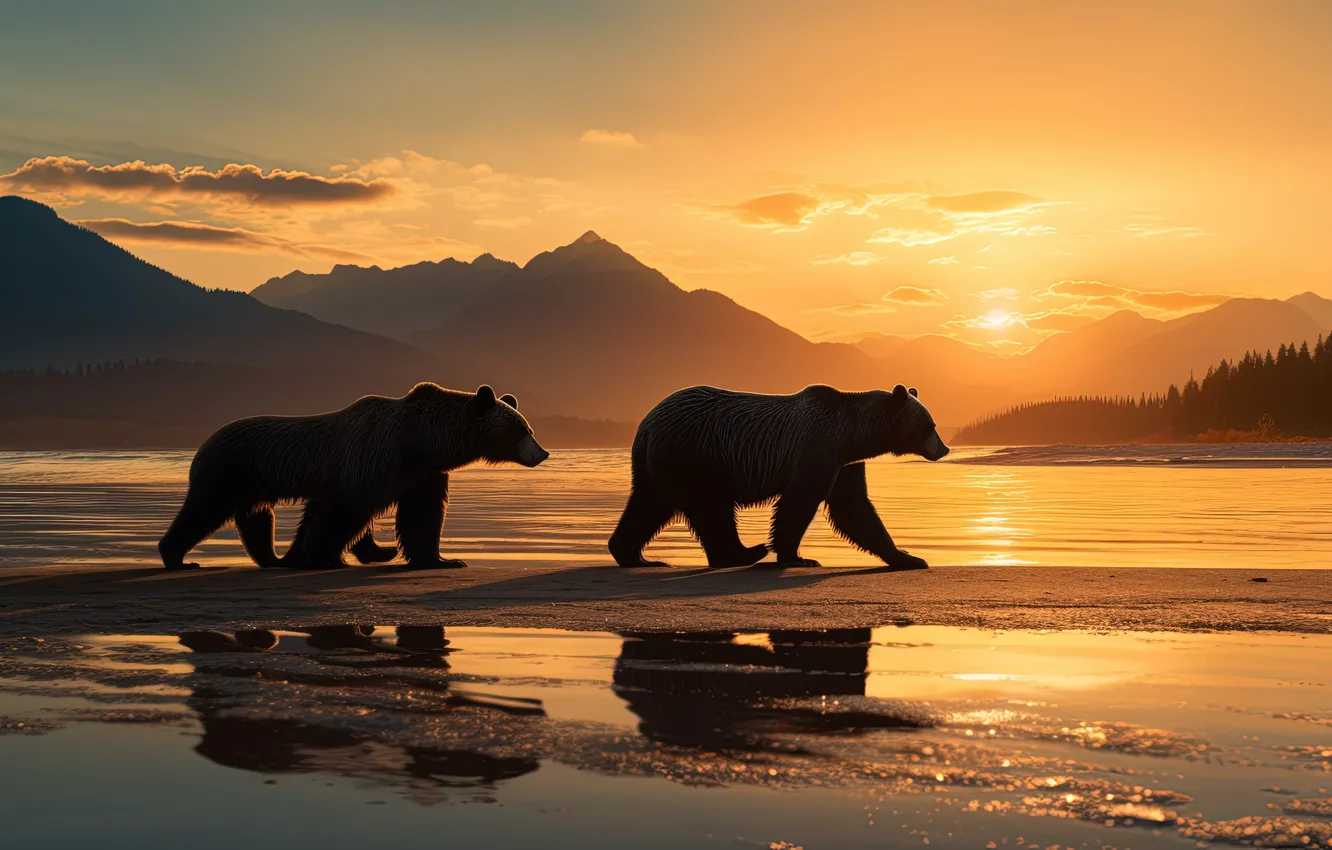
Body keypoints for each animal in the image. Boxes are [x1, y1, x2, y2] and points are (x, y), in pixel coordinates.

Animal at [158, 383, 548, 571]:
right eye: (522, 430)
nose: (542, 453)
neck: (420, 440)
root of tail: (205, 442)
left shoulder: (422, 472)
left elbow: (422, 516)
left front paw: (441, 558)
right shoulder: (374, 458)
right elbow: (347, 509)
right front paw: (325, 556)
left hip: (251, 483)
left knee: (255, 518)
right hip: (228, 470)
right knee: (203, 510)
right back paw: (177, 556)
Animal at [607, 383, 948, 570]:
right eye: (930, 425)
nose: (944, 448)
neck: (853, 435)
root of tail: (647, 423)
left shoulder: (845, 463)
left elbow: (854, 507)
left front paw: (908, 557)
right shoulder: (817, 447)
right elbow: (800, 501)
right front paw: (795, 556)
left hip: (660, 464)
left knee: (648, 505)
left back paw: (634, 555)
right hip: (698, 453)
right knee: (711, 507)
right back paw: (744, 552)